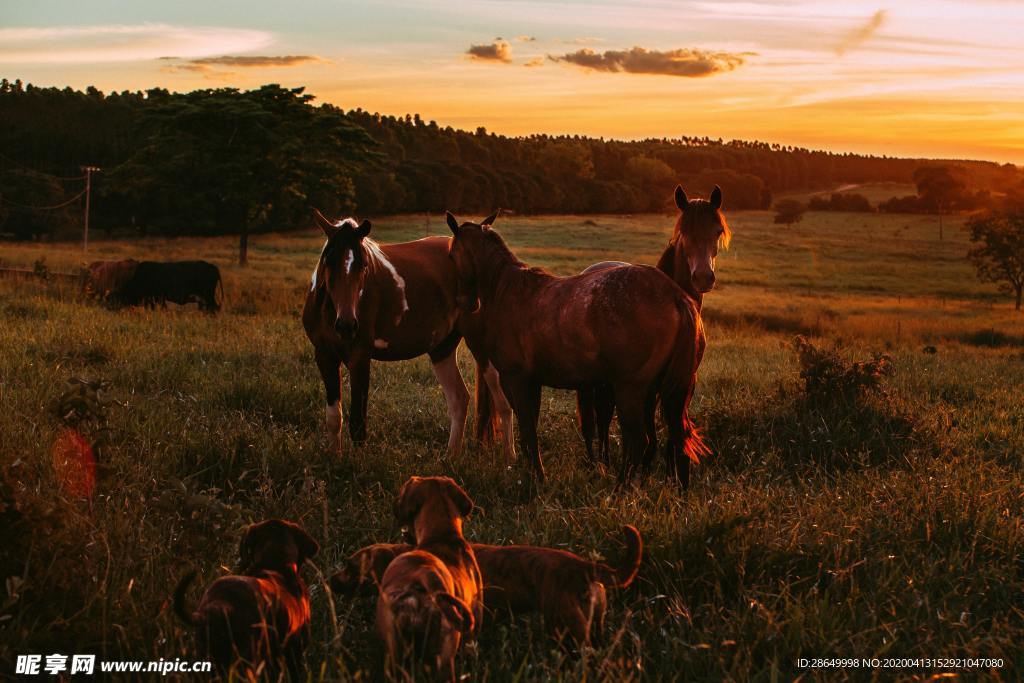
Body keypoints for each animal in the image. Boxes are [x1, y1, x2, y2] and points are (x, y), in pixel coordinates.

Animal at [444, 210, 708, 483]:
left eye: (451, 255)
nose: (465, 302)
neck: (507, 290)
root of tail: (675, 295)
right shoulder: (532, 382)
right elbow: (530, 429)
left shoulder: (517, 380)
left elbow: (528, 431)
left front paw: (536, 477)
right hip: (664, 391)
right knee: (674, 439)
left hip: (631, 388)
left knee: (638, 442)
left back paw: (620, 488)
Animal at [577, 184, 729, 485]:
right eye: (683, 232)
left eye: (717, 230)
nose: (703, 277)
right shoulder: (647, 388)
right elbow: (649, 437)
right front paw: (644, 474)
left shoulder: (685, 382)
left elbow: (673, 435)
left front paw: (671, 476)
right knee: (597, 421)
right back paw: (600, 463)